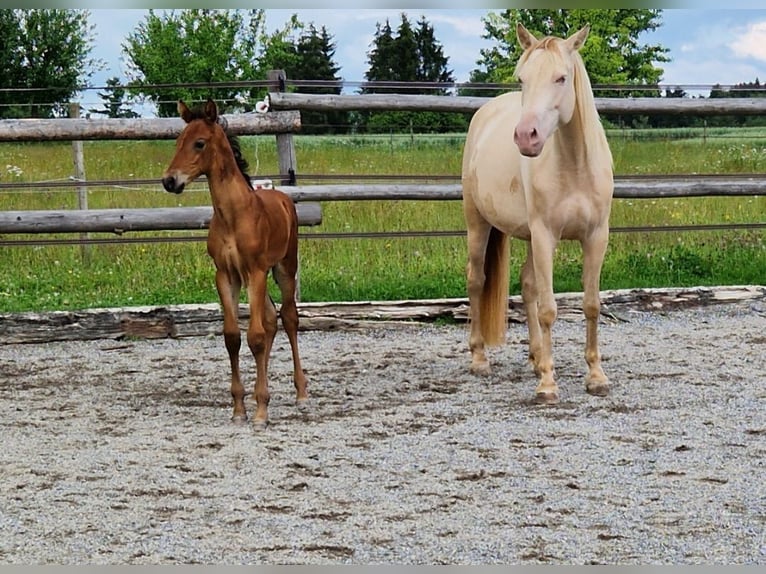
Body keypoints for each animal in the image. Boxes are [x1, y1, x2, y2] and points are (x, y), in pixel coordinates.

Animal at [462, 23, 616, 404]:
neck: (574, 164)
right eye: (522, 79)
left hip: (529, 236)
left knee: (528, 285)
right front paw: (548, 384)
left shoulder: (596, 237)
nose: (525, 136)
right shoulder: (546, 235)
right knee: (476, 280)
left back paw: (535, 358)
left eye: (561, 77)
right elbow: (549, 309)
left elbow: (591, 304)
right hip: (478, 223)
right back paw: (480, 358)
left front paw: (596, 377)